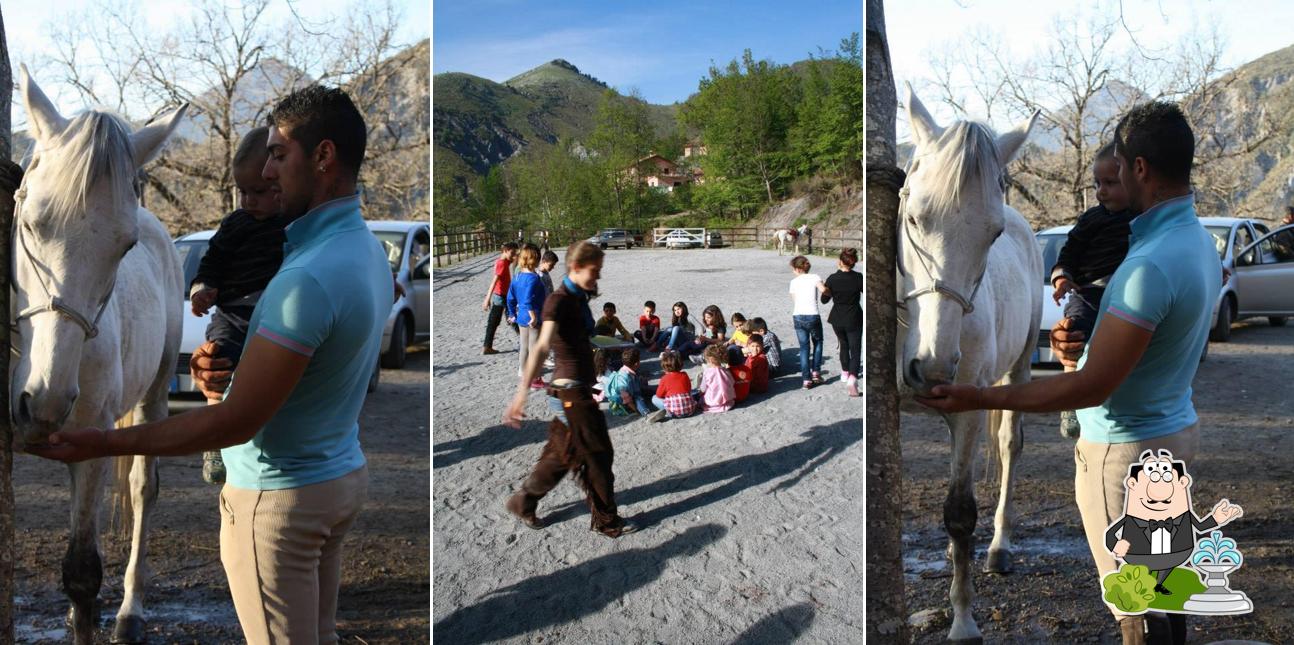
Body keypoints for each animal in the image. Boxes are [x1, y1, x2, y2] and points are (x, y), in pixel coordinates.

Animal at [12, 66, 187, 645]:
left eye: (123, 246)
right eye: (30, 223)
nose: (43, 402)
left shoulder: (90, 436)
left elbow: (83, 574)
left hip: (152, 399)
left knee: (142, 490)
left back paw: (131, 610)